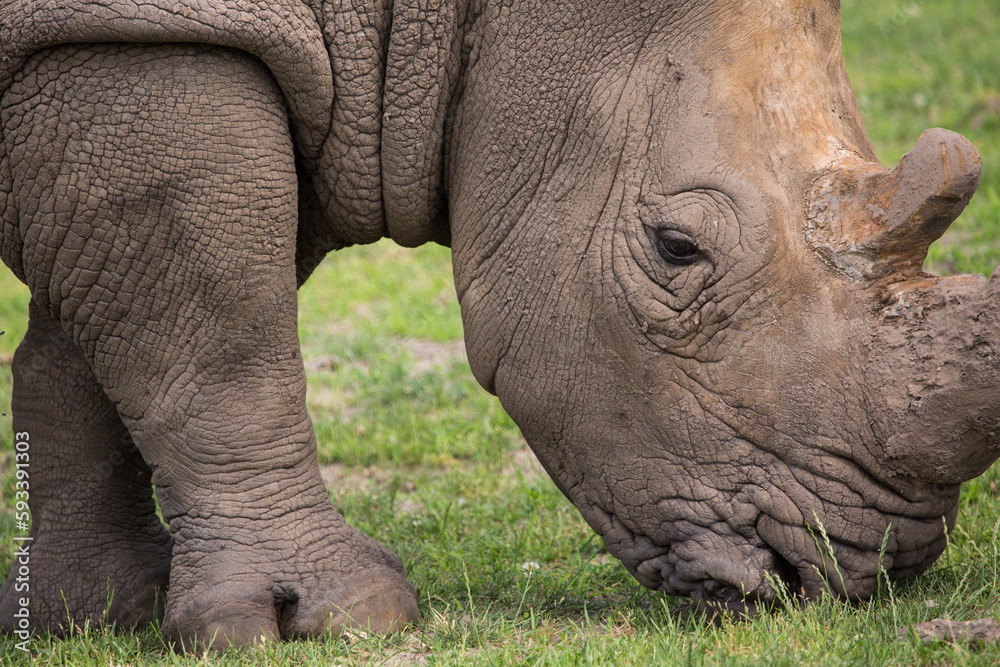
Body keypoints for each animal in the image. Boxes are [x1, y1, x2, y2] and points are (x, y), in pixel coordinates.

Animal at [1, 0, 997, 651]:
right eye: (676, 248)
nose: (867, 568)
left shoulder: (210, 56)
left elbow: (98, 340)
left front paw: (92, 612)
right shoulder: (145, 35)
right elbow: (222, 332)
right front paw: (332, 619)